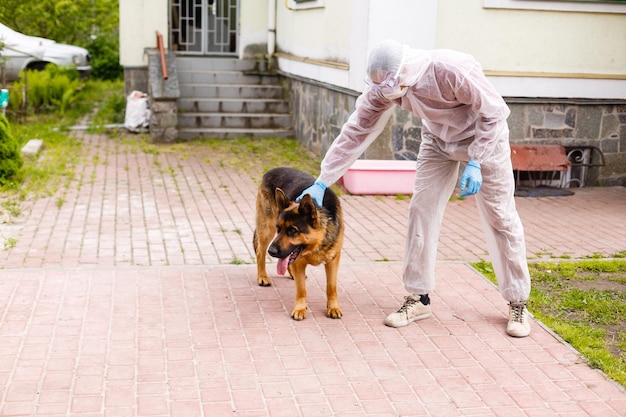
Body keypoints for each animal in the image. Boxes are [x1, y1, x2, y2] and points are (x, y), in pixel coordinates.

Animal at [251, 166, 344, 318]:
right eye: (279, 228)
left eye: (292, 230)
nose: (272, 251)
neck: (316, 245)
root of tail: (272, 170)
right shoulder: (299, 261)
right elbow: (301, 290)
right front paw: (300, 309)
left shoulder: (333, 261)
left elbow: (331, 287)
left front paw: (333, 307)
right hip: (267, 229)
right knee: (260, 251)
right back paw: (262, 276)